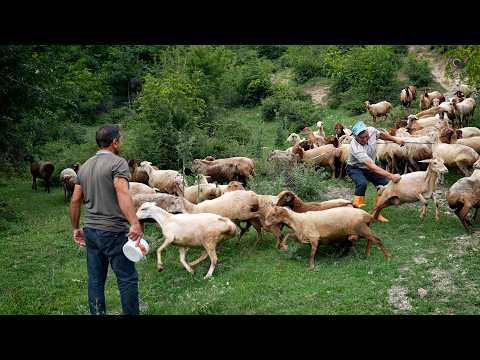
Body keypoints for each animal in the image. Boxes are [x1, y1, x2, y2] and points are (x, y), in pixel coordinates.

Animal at [262, 207, 390, 268]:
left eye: (273, 214)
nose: (264, 225)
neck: (298, 221)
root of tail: (368, 215)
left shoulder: (314, 237)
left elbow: (312, 254)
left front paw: (311, 267)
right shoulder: (302, 235)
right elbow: (289, 234)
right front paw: (284, 246)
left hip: (361, 228)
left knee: (377, 239)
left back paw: (388, 257)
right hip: (361, 230)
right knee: (371, 240)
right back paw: (367, 254)